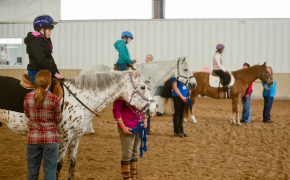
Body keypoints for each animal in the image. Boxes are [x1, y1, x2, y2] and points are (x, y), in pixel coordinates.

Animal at [0, 69, 156, 180]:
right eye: (143, 87)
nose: (154, 109)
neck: (79, 99)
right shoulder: (65, 137)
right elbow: (58, 165)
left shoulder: (76, 137)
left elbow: (72, 163)